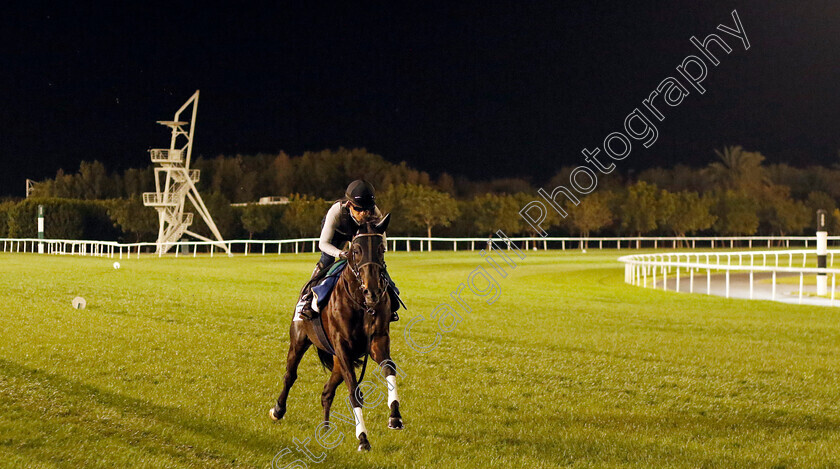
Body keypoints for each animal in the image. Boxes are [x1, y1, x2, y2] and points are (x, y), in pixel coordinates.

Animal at [268, 214, 402, 452]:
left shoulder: (377, 341)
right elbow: (354, 390)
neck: (361, 304)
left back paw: (325, 429)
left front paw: (395, 416)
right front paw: (363, 438)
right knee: (290, 375)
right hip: (300, 340)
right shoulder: (342, 347)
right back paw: (278, 410)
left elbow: (389, 368)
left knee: (326, 391)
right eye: (356, 249)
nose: (373, 291)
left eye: (382, 249)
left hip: (338, 361)